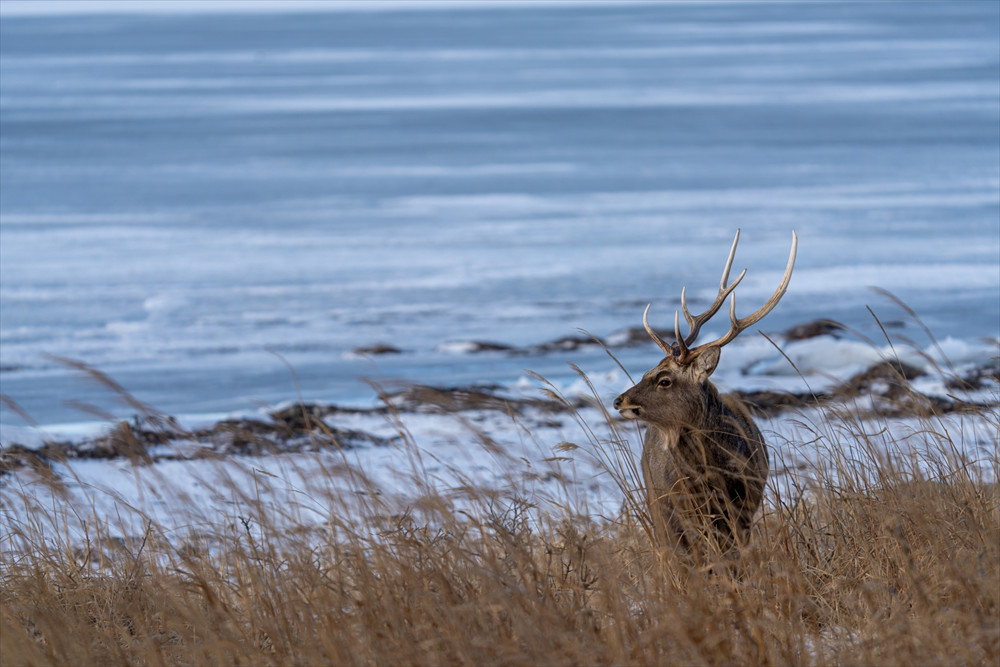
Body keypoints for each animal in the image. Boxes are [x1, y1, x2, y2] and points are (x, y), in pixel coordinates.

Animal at [614, 230, 797, 554]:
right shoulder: (680, 508)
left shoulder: (744, 506)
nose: (618, 400)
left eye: (664, 380)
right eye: (645, 372)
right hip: (657, 502)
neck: (712, 473)